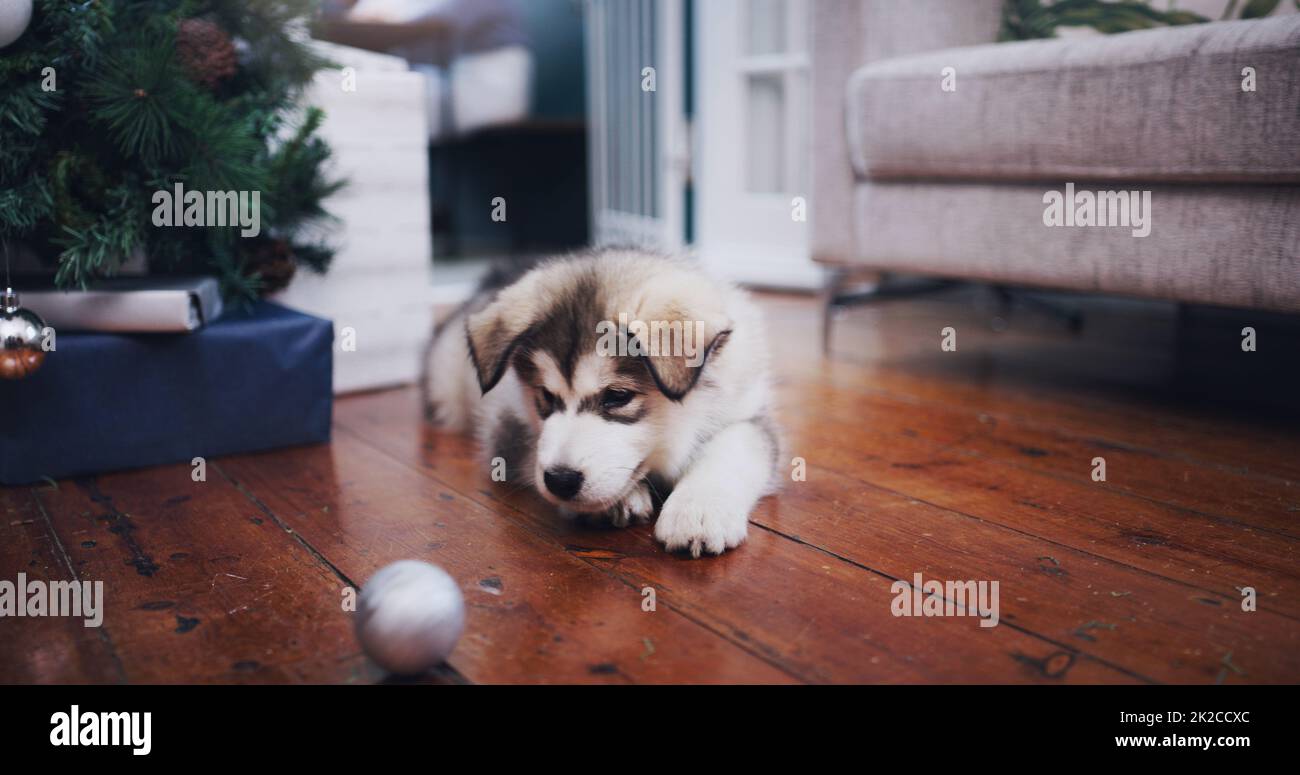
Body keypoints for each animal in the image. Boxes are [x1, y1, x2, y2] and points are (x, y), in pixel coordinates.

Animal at [421, 250, 774, 553]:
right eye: (545, 396)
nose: (560, 481)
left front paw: (698, 510)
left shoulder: (747, 412)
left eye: (617, 396)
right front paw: (618, 499)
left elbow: (731, 449)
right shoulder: (507, 429)